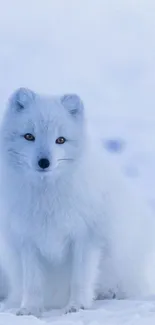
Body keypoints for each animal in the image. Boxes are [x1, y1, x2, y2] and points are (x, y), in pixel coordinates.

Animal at [0, 87, 155, 316]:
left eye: (61, 140)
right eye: (29, 136)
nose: (44, 162)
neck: (47, 196)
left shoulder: (86, 237)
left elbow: (80, 278)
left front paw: (77, 306)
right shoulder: (28, 239)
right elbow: (33, 283)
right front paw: (30, 309)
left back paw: (109, 293)